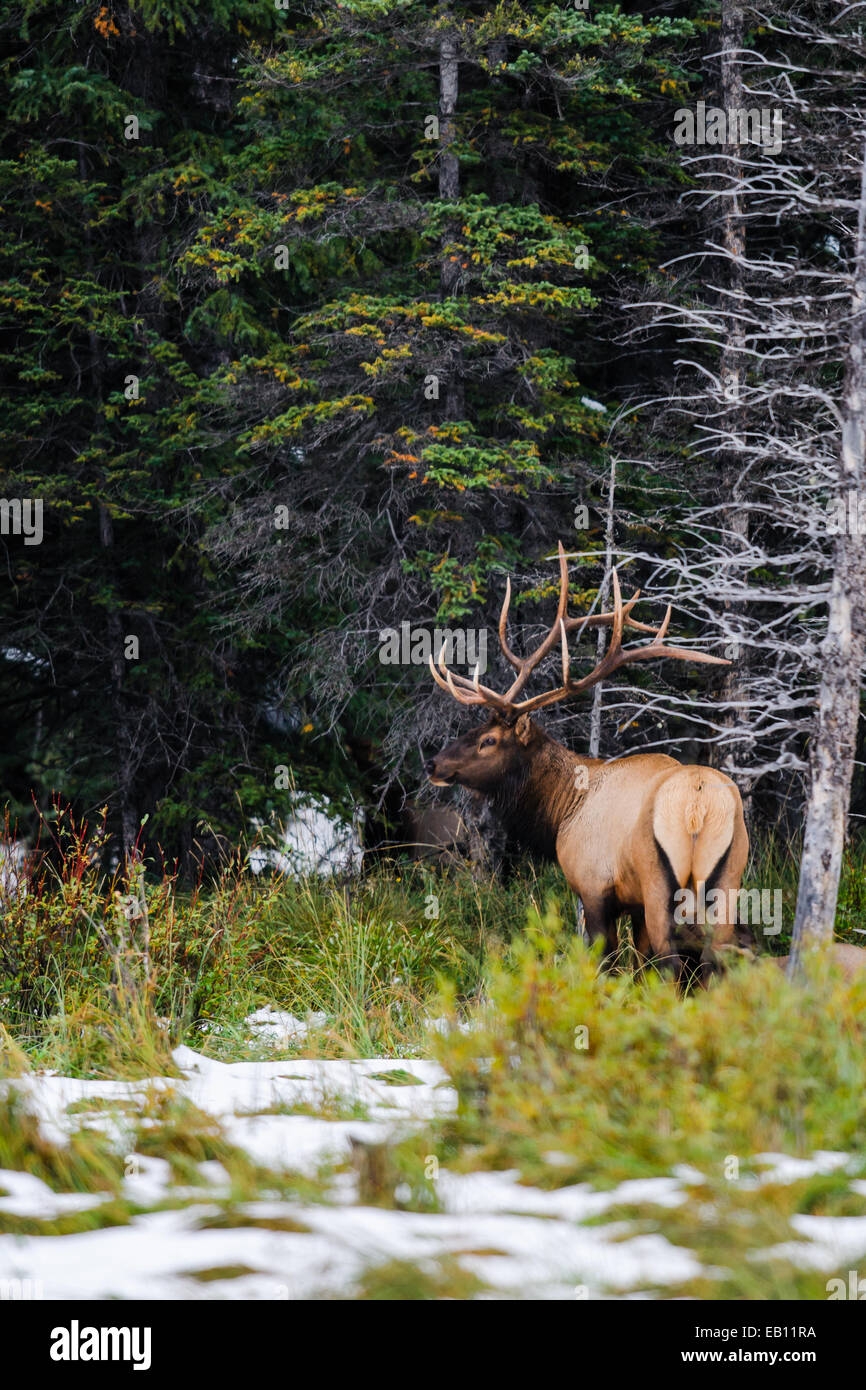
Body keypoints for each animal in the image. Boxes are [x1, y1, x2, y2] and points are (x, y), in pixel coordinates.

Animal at [428, 536, 750, 984]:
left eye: (489, 740)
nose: (434, 764)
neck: (562, 810)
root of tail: (699, 804)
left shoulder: (594, 886)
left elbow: (607, 963)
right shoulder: (632, 901)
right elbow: (637, 965)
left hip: (660, 882)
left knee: (672, 964)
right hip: (729, 878)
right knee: (713, 965)